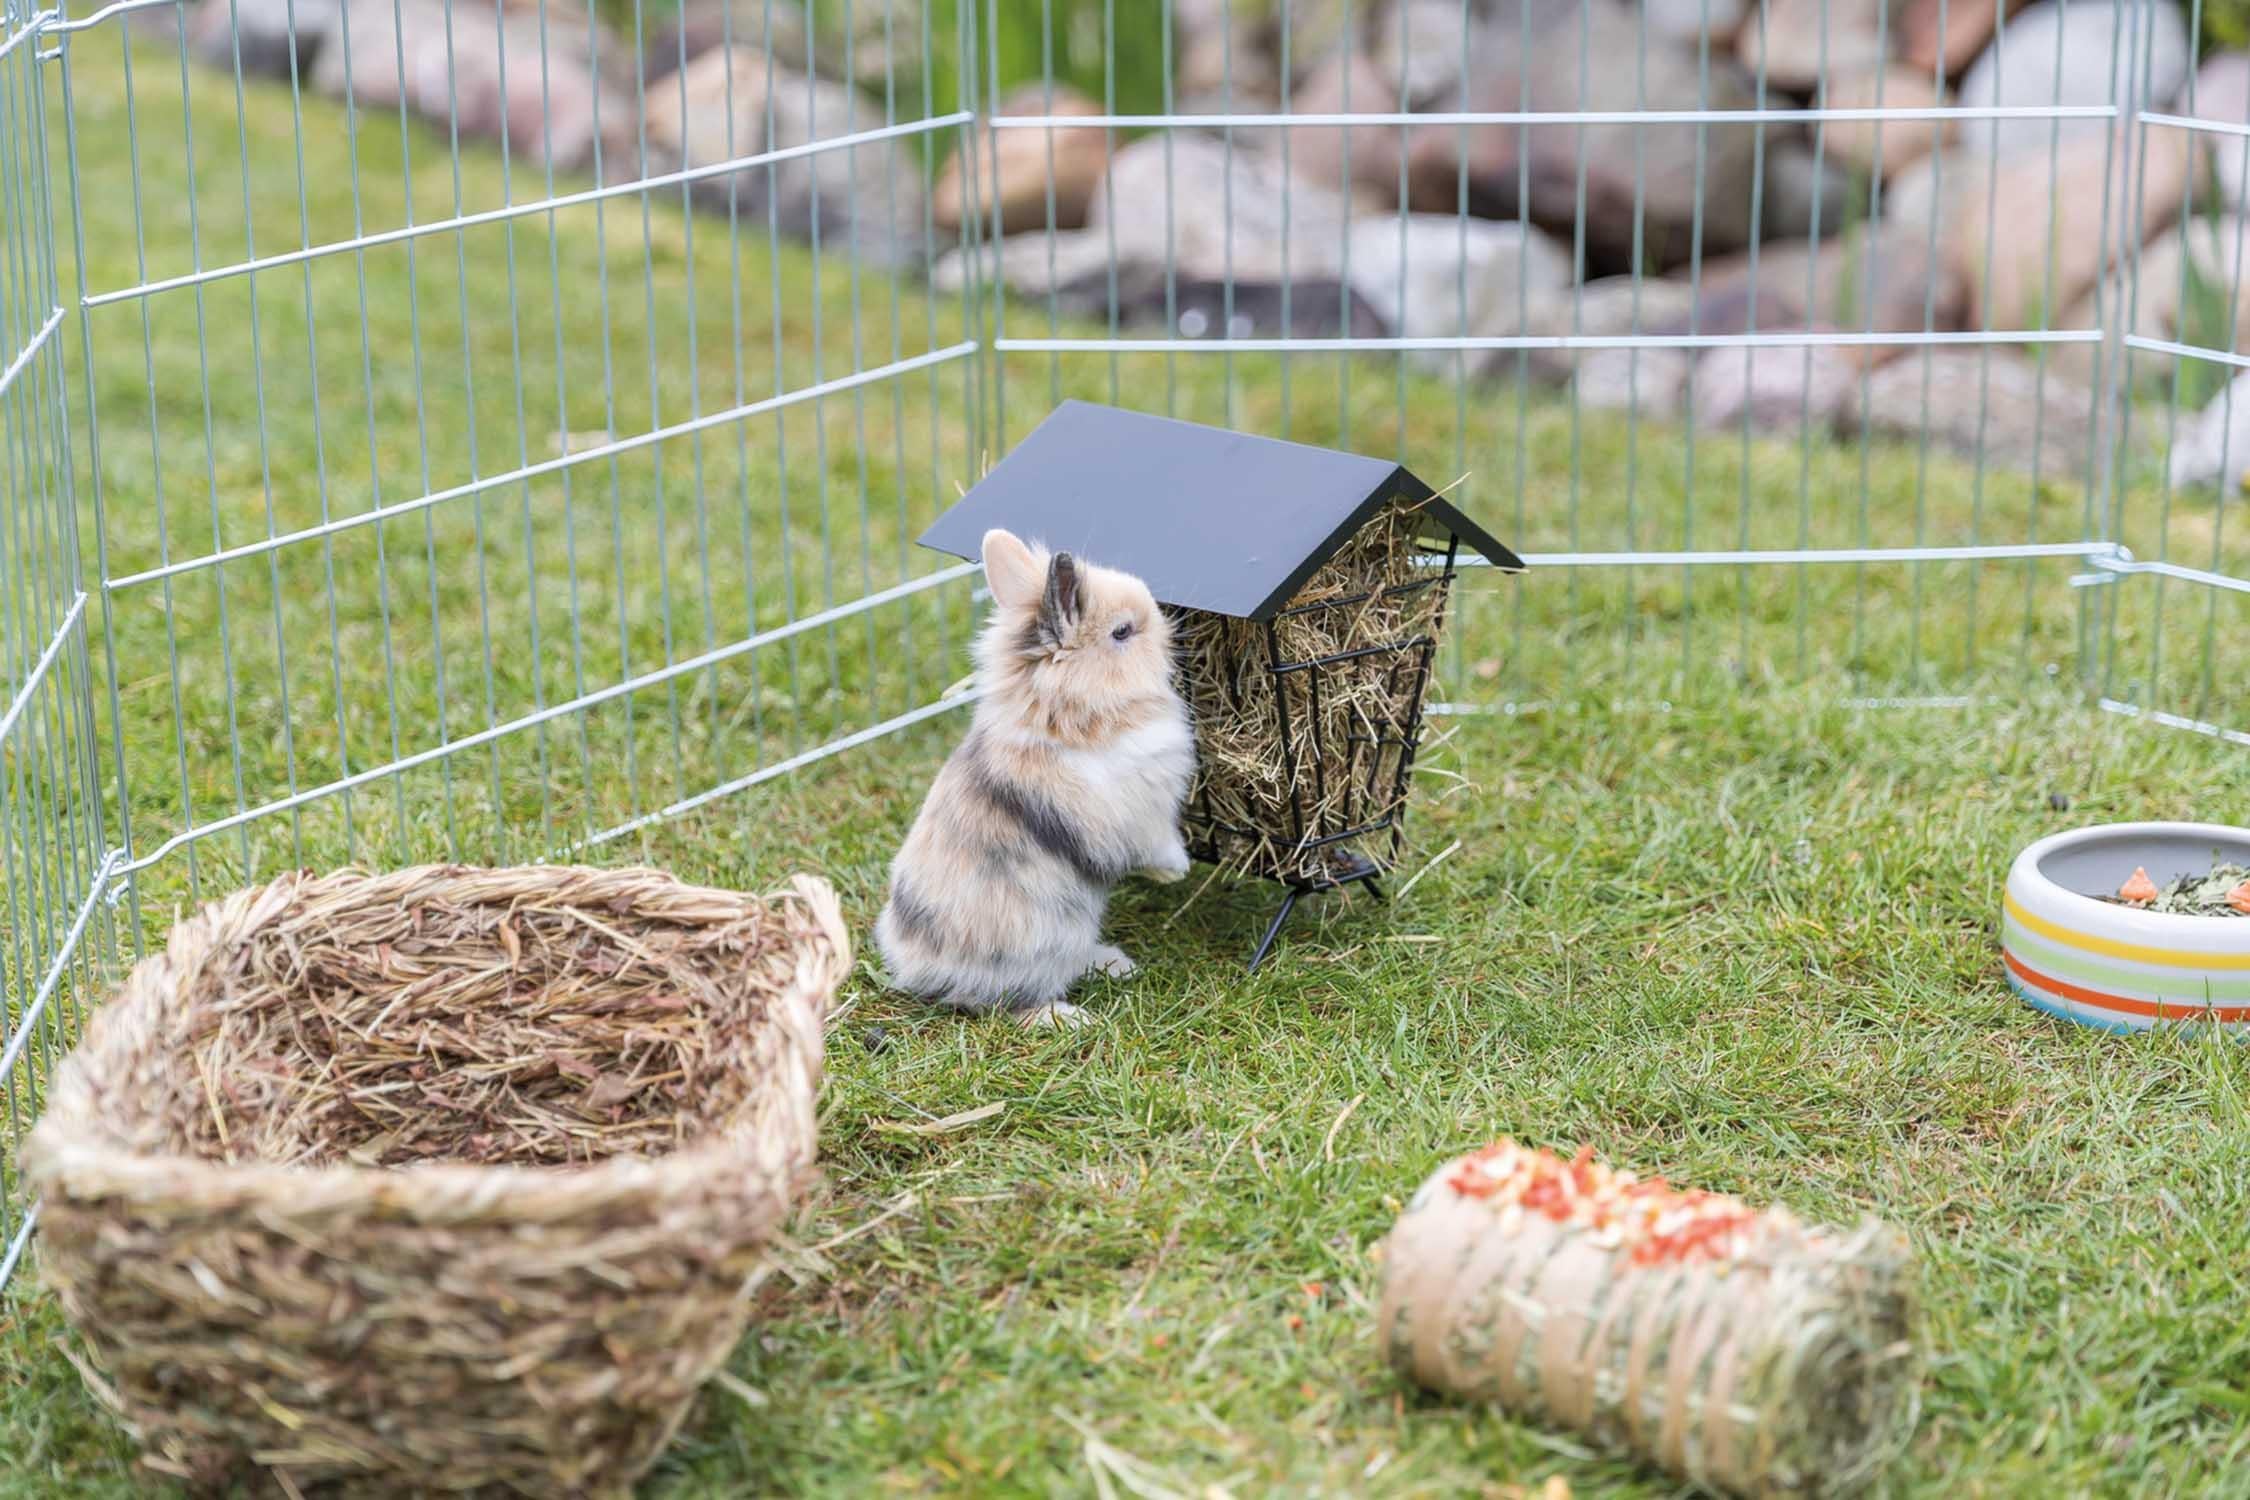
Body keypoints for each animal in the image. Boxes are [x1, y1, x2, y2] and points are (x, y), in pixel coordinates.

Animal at [873, 521, 1206, 1025]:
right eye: (1122, 631)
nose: (1171, 632)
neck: (1067, 715)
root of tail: (918, 972)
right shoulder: (1135, 814)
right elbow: (1156, 845)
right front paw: (1177, 871)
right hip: (1041, 943)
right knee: (1004, 1004)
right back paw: (1071, 1017)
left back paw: (1114, 963)